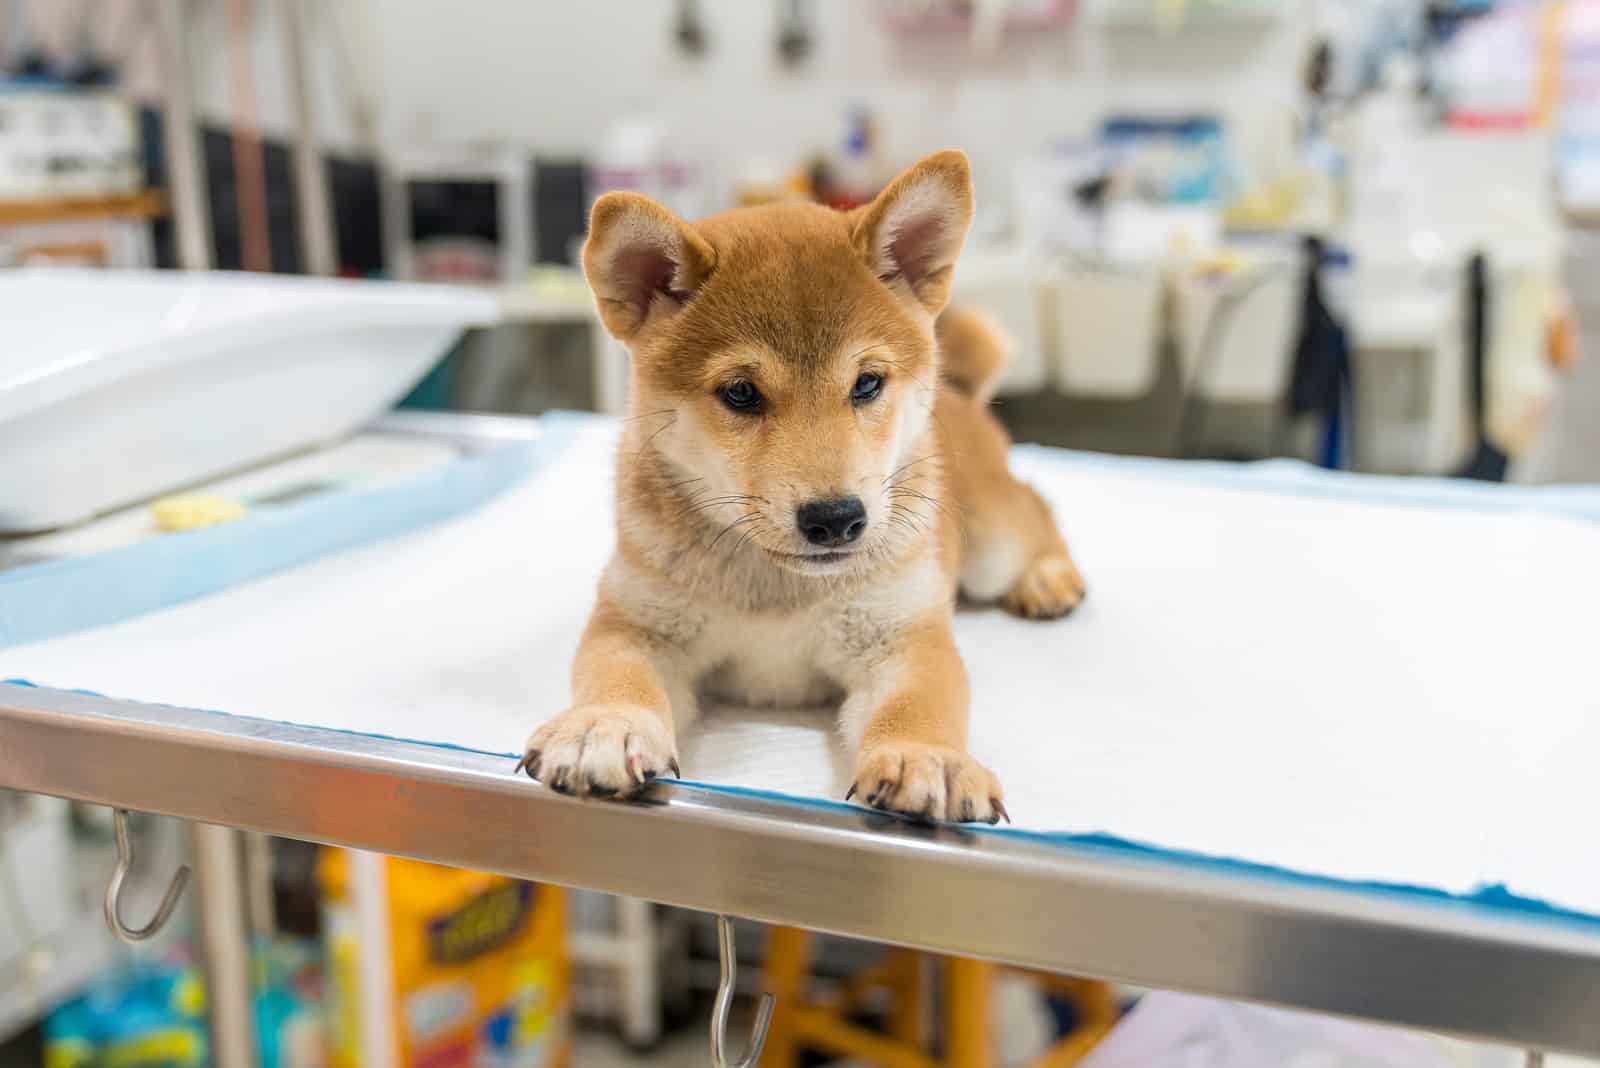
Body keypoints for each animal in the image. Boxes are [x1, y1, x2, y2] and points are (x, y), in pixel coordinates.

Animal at [518, 150, 1081, 824]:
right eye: (740, 392)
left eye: (867, 383)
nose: (836, 518)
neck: (777, 589)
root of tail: (961, 394)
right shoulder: (636, 625)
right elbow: (615, 677)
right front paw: (602, 727)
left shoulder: (902, 637)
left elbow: (916, 706)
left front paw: (927, 758)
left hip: (991, 543)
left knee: (1039, 506)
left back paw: (1048, 578)